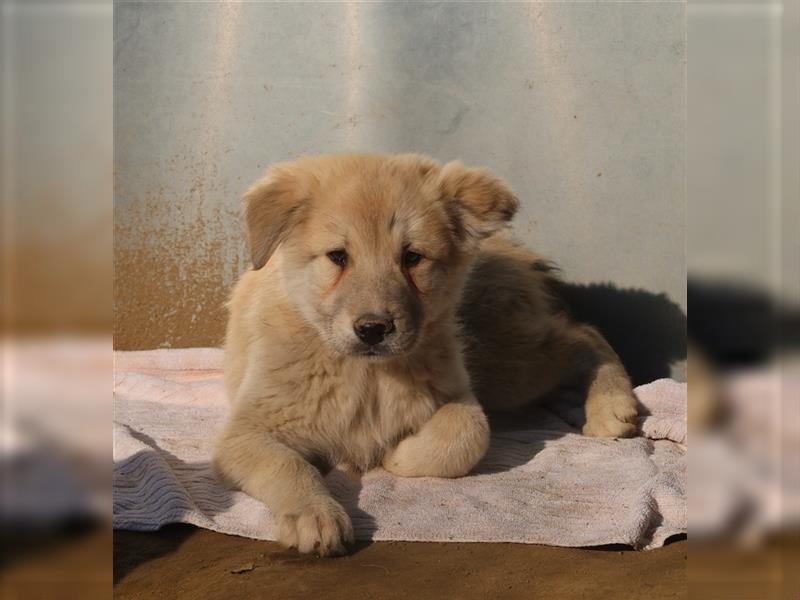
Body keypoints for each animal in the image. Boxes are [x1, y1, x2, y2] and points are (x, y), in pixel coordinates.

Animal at [212, 155, 636, 556]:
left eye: (412, 257)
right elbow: (288, 465)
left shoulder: (457, 395)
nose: (373, 329)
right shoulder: (246, 431)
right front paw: (315, 514)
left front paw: (396, 456)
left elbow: (468, 434)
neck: (367, 375)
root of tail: (506, 247)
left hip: (503, 365)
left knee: (582, 334)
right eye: (338, 256)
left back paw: (613, 408)